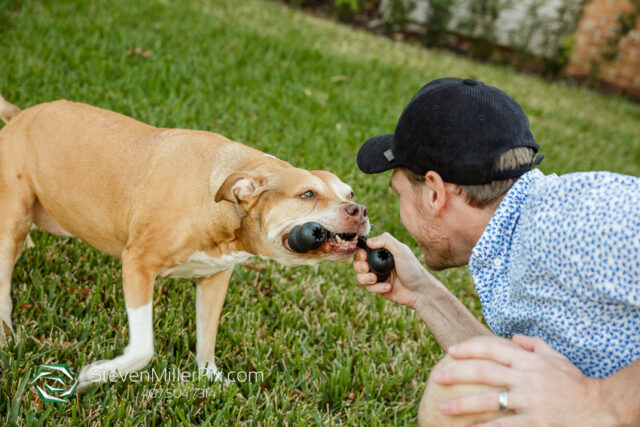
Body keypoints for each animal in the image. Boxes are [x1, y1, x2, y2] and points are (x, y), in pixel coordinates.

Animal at [0, 95, 370, 390]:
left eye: (349, 193)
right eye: (307, 194)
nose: (360, 210)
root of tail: (21, 115)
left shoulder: (215, 279)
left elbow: (207, 339)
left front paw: (212, 380)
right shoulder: (138, 264)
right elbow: (143, 348)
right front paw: (98, 374)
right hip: (11, 223)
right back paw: (7, 333)